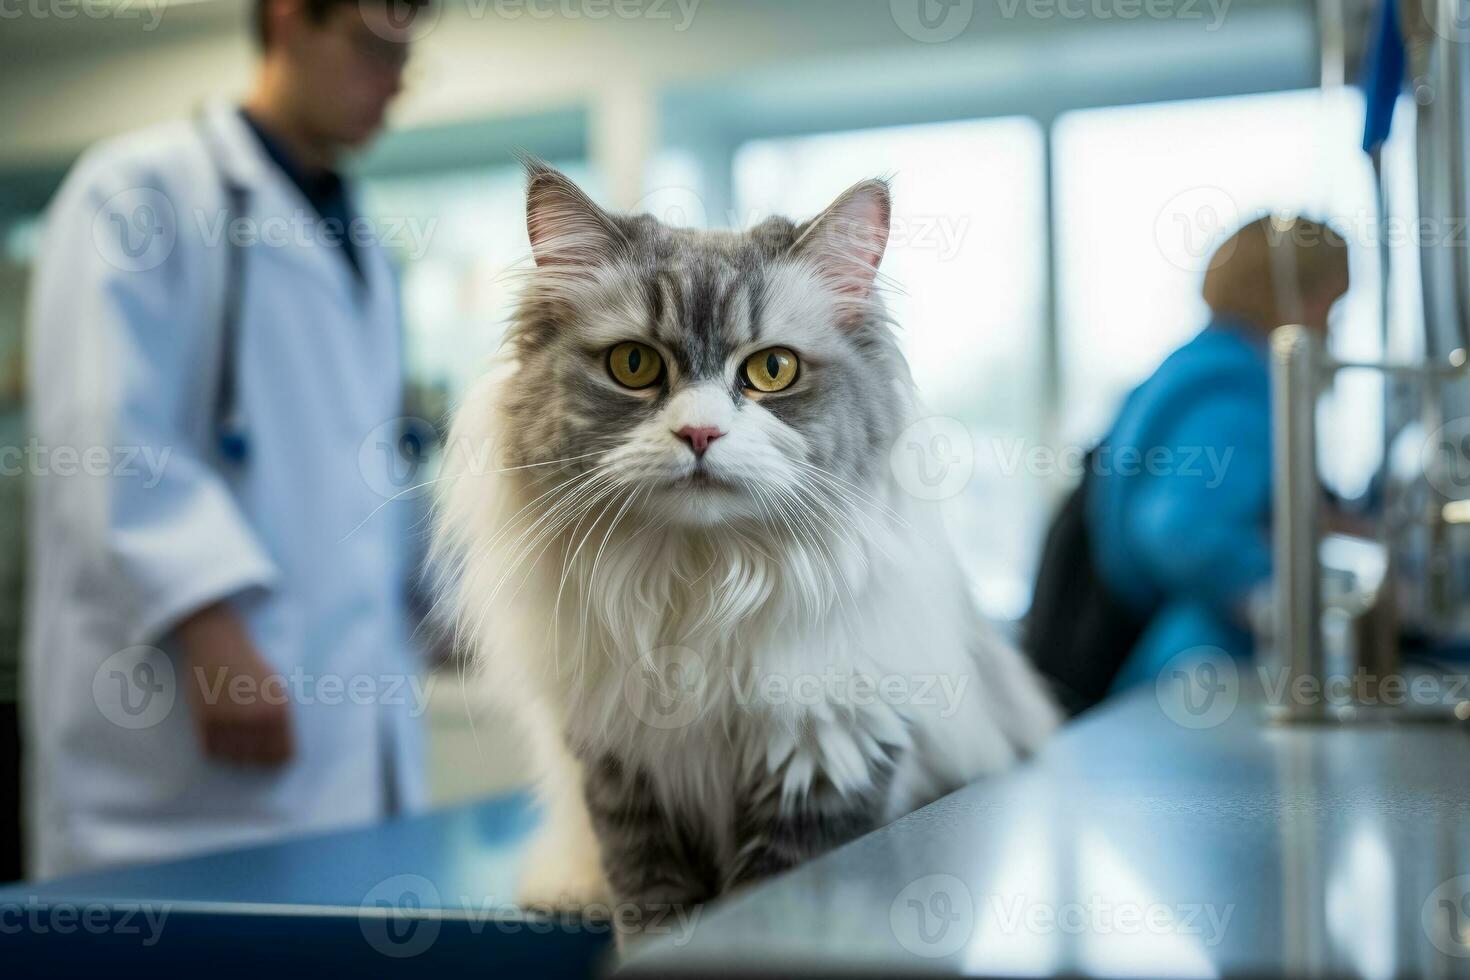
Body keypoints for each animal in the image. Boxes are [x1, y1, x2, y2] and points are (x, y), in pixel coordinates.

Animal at [432, 163, 1058, 922]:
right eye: (634, 364)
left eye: (773, 371)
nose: (700, 434)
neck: (703, 584)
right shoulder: (619, 773)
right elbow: (649, 903)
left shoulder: (828, 755)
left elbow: (772, 893)